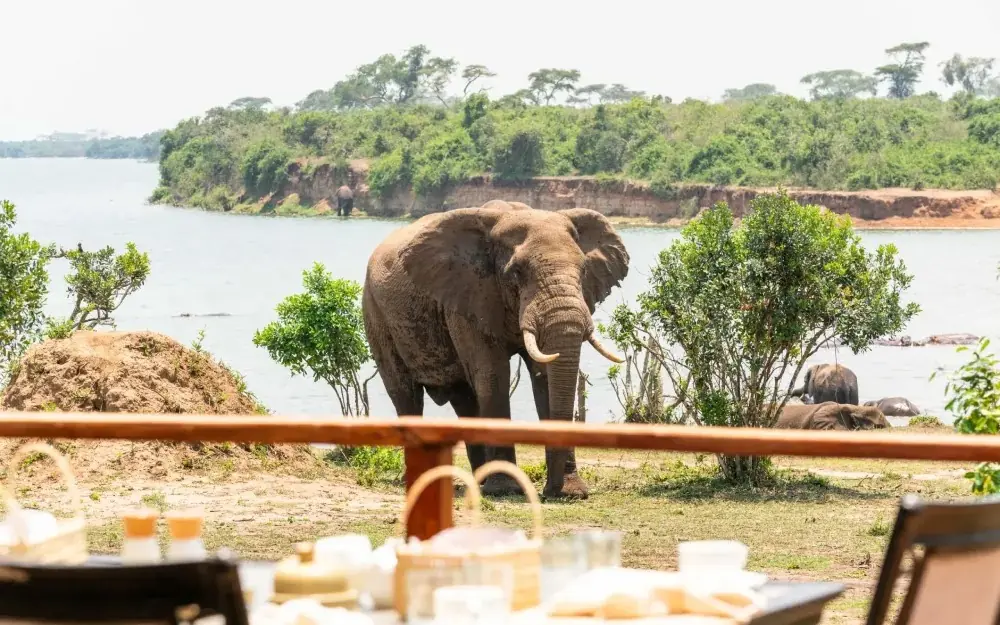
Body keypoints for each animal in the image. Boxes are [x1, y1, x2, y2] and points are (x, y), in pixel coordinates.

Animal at [363, 200, 629, 498]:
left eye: (583, 271)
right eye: (517, 272)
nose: (552, 491)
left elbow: (545, 378)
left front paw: (570, 492)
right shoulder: (469, 297)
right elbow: (493, 375)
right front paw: (505, 489)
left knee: (464, 399)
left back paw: (478, 482)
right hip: (374, 312)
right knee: (405, 394)